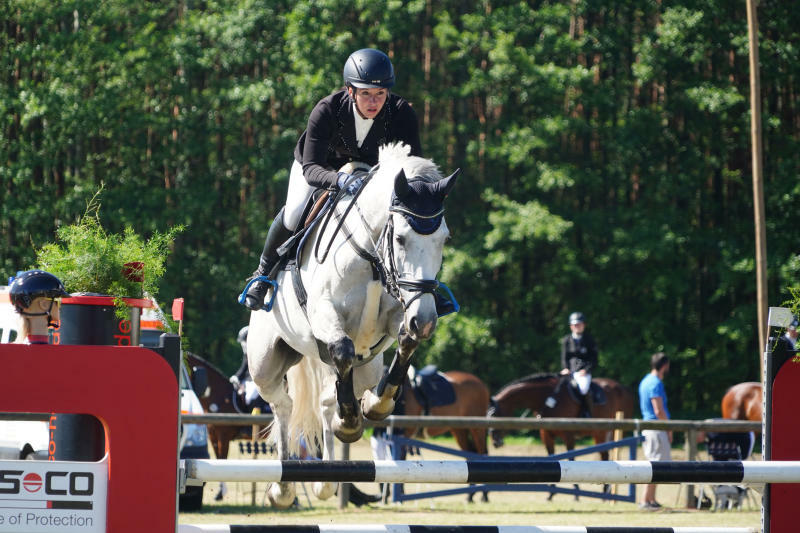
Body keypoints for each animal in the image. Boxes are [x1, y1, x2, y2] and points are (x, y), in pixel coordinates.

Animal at [247, 142, 460, 508]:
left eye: (444, 240)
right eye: (400, 239)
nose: (426, 320)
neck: (373, 257)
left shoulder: (398, 314)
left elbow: (405, 342)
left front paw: (378, 405)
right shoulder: (325, 315)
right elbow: (344, 349)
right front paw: (350, 421)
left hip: (365, 367)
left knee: (328, 401)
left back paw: (326, 479)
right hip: (265, 363)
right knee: (284, 404)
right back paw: (283, 488)